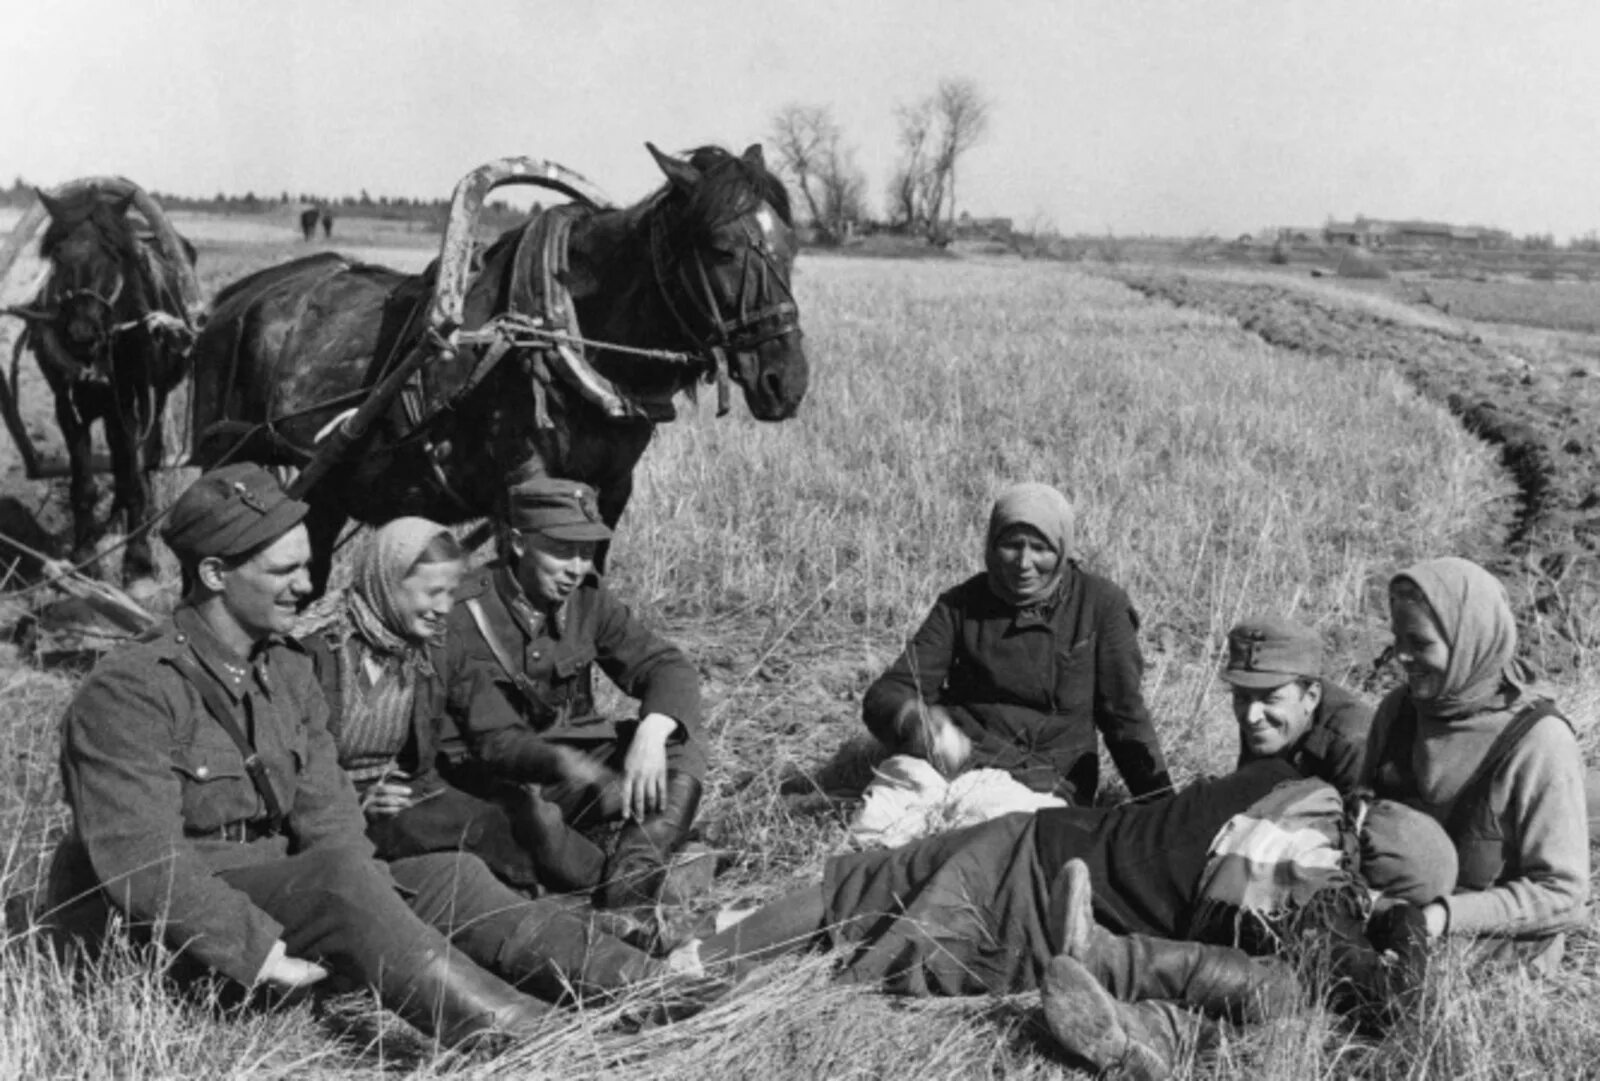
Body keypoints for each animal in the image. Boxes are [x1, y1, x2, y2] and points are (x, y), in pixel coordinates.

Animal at [13, 181, 201, 582]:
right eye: (58, 255)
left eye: (114, 255)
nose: (82, 333)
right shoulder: (67, 405)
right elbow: (84, 484)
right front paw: (86, 556)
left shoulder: (126, 403)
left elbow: (131, 477)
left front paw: (138, 559)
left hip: (155, 394)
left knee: (145, 459)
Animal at [192, 142, 806, 591]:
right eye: (720, 247)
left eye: (792, 246)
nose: (787, 379)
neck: (558, 331)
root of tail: (233, 301)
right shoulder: (522, 486)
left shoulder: (611, 491)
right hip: (232, 467)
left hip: (324, 494)